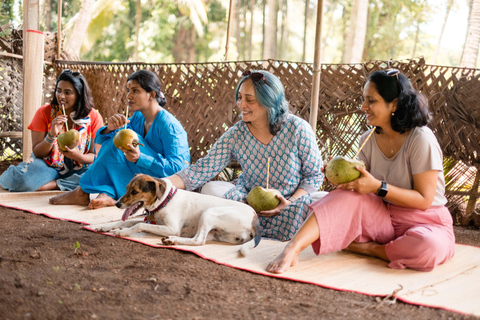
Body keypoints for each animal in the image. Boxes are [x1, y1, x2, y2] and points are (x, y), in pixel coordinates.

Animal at [91, 174, 260, 256]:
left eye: (134, 192)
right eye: (126, 188)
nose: (117, 204)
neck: (165, 200)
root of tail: (255, 219)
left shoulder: (171, 227)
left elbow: (138, 224)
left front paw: (123, 232)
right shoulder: (153, 222)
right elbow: (124, 222)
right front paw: (105, 227)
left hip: (208, 213)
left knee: (198, 241)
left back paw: (171, 240)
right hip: (216, 233)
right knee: (198, 239)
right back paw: (171, 241)